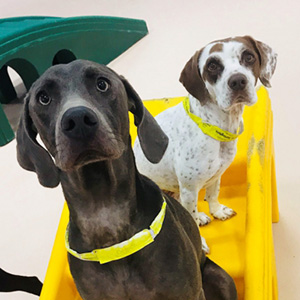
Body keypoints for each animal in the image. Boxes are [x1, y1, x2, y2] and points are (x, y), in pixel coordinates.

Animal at [15, 59, 237, 298]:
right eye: (43, 98)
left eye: (102, 84)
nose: (77, 119)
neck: (105, 210)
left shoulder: (189, 293)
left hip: (221, 278)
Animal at [134, 37, 276, 230]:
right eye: (212, 65)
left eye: (249, 57)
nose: (238, 81)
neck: (212, 124)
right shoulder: (189, 189)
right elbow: (191, 218)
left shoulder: (217, 174)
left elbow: (213, 195)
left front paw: (217, 211)